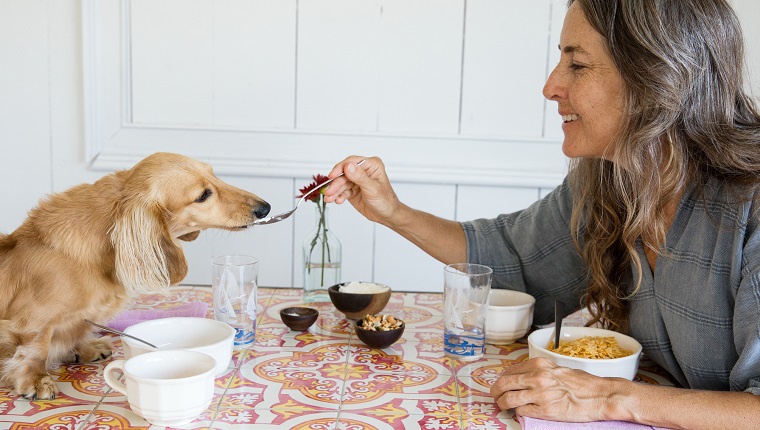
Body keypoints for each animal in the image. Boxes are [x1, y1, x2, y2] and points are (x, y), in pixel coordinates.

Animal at [0, 152, 270, 400]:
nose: (265, 208)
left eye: (214, 175)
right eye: (203, 195)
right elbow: (37, 347)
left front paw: (83, 347)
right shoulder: (32, 322)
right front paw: (36, 380)